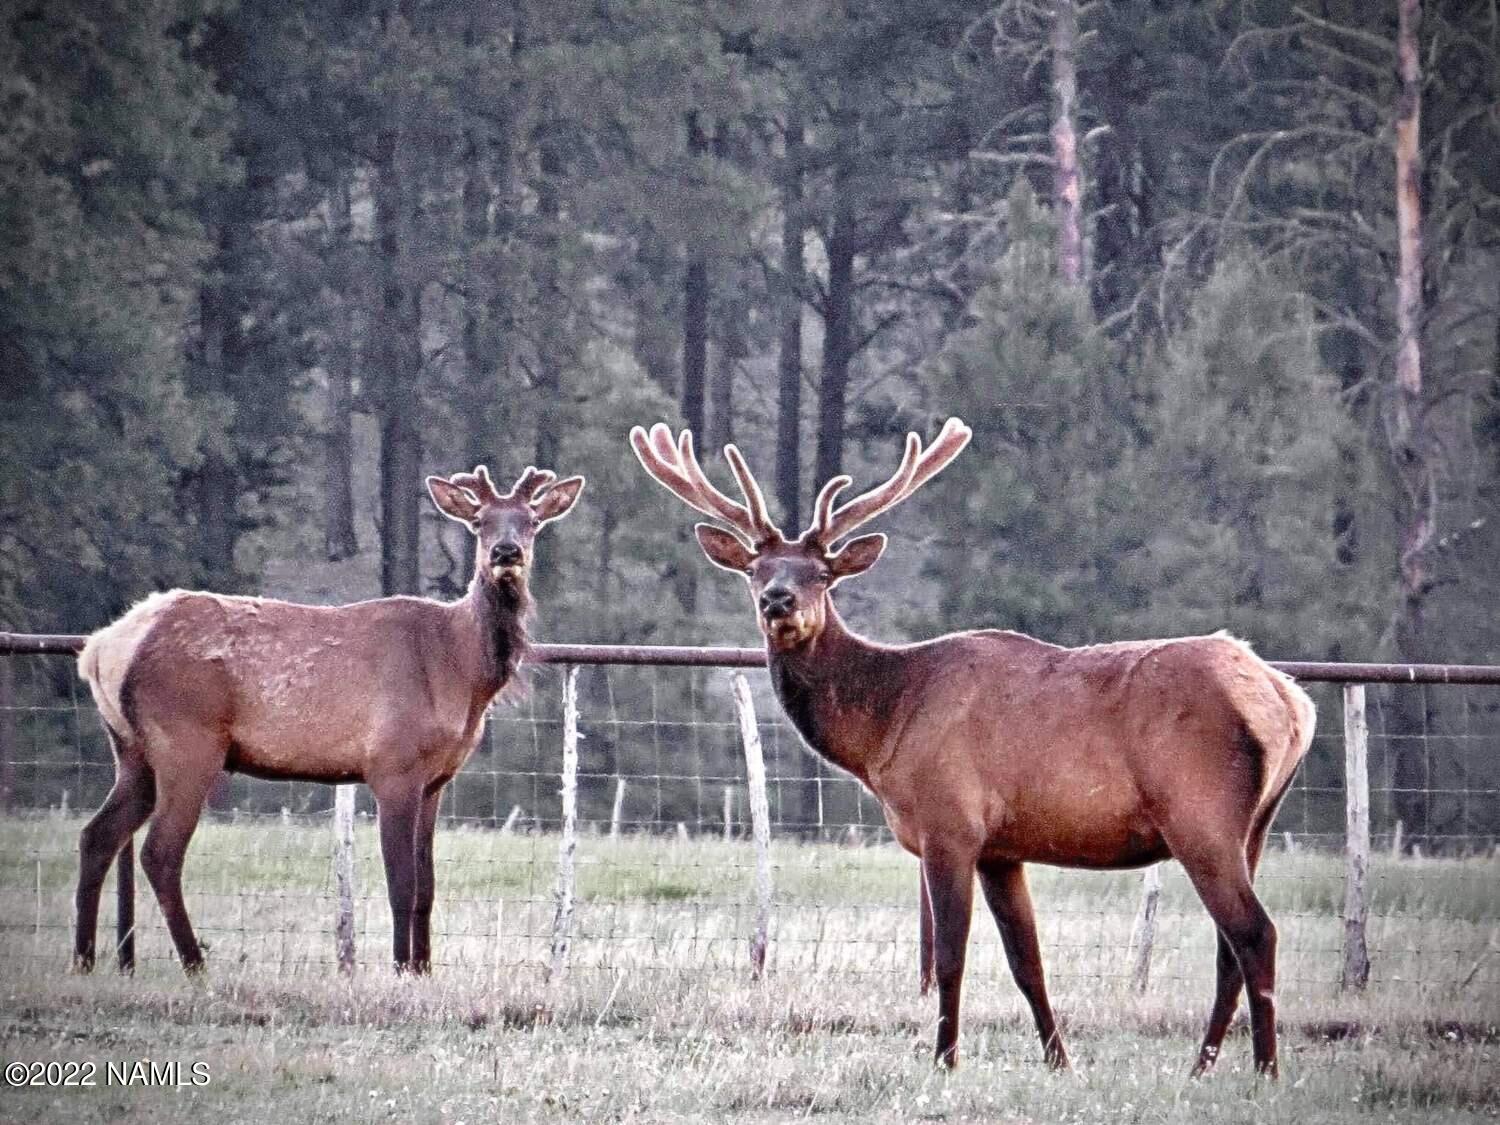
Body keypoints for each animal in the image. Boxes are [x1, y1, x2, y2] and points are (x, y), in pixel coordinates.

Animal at [73, 464, 584, 976]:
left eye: (531, 522)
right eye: (479, 522)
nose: (506, 552)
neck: (460, 671)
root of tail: (99, 649)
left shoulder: (437, 779)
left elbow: (428, 887)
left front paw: (423, 971)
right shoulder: (393, 765)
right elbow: (402, 885)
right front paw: (400, 969)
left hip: (134, 751)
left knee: (97, 835)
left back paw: (83, 960)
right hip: (187, 741)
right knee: (158, 852)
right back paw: (196, 966)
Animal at [630, 418, 1316, 1077]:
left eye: (821, 574)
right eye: (755, 570)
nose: (779, 601)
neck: (885, 728)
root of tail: (1289, 700)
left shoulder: (949, 824)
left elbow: (950, 957)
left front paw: (944, 1059)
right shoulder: (1002, 849)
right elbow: (1026, 960)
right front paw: (1059, 1061)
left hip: (1199, 814)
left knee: (1255, 933)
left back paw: (1265, 1070)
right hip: (1253, 825)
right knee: (1229, 946)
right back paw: (1202, 1067)